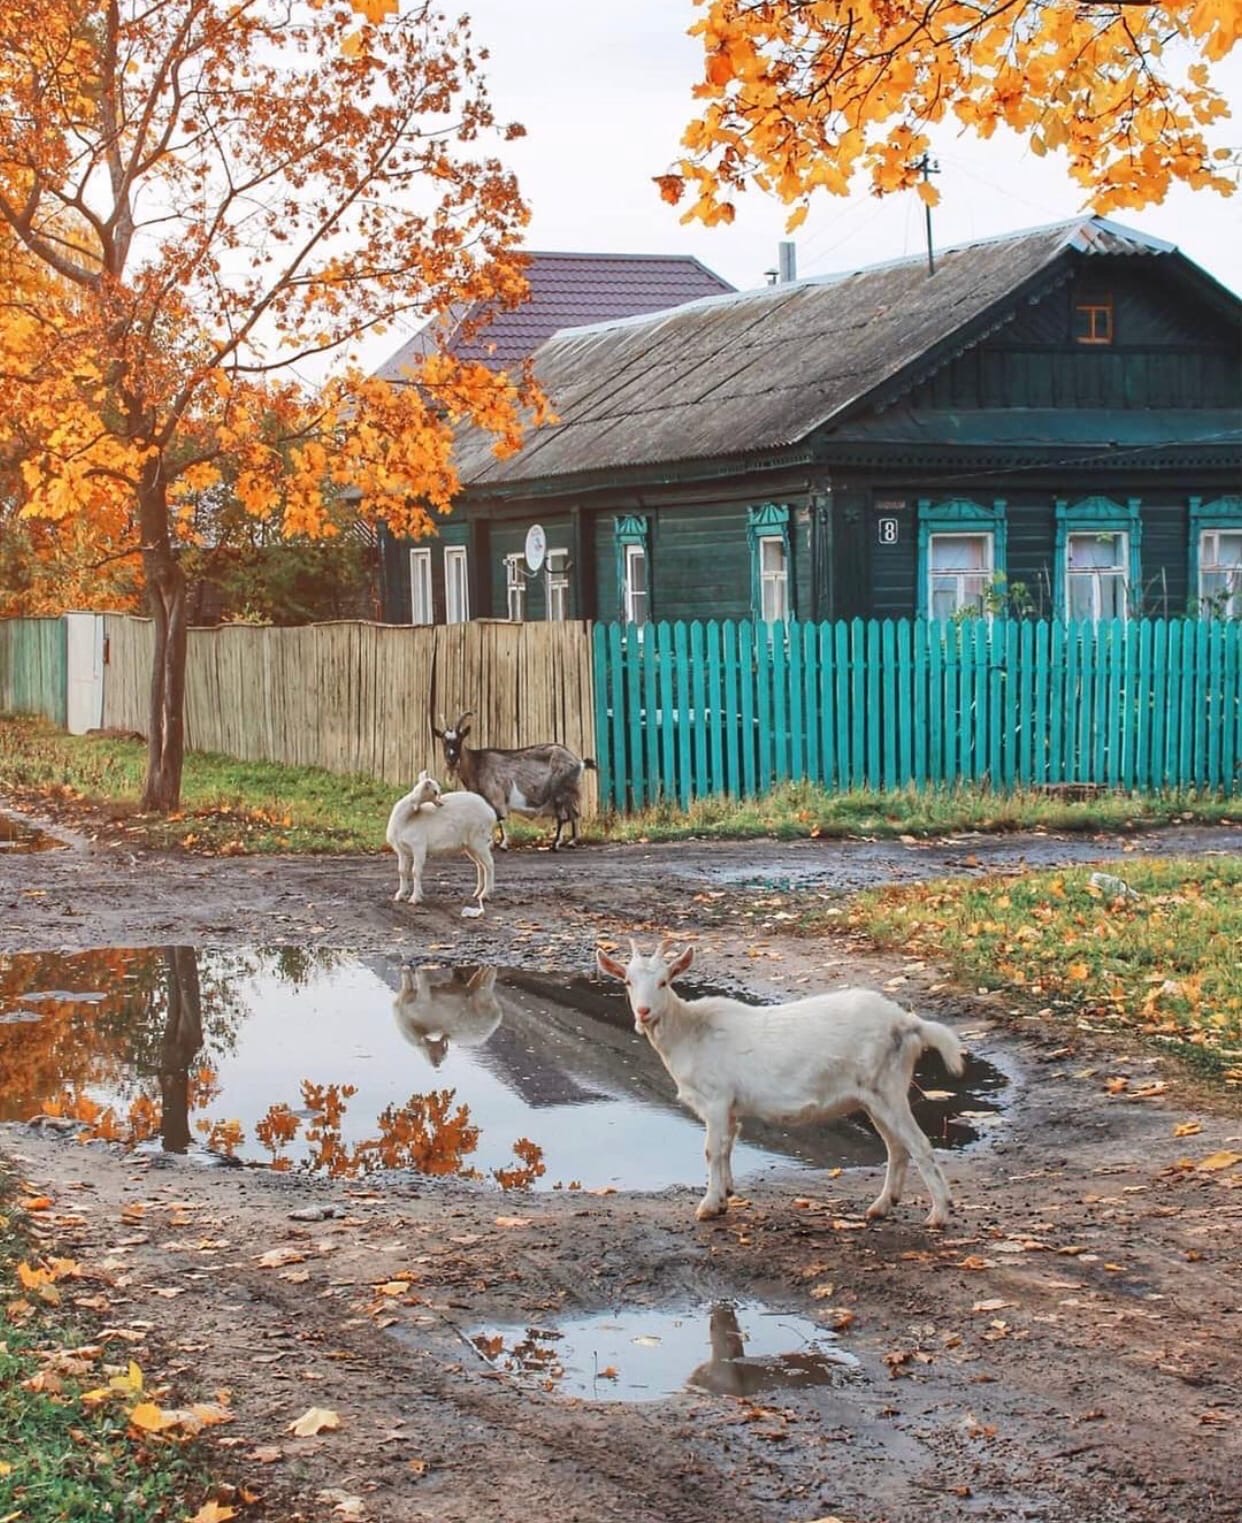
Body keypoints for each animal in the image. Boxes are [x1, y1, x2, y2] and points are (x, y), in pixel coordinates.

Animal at [384, 767, 496, 907]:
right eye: (435, 791)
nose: (441, 803)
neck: (406, 820)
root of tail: (491, 813)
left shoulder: (419, 846)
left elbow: (415, 871)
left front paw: (415, 898)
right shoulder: (402, 850)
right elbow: (402, 871)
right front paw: (400, 895)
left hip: (479, 840)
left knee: (489, 864)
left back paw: (485, 895)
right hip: (470, 846)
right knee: (480, 865)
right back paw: (476, 893)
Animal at [597, 932, 969, 1230]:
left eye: (664, 982)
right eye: (628, 982)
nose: (643, 1012)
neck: (690, 1031)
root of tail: (907, 1023)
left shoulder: (716, 1099)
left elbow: (712, 1150)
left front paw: (708, 1206)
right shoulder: (731, 1107)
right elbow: (728, 1144)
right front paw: (726, 1195)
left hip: (888, 1088)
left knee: (918, 1144)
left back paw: (939, 1214)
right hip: (875, 1096)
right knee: (897, 1147)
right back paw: (881, 1207)